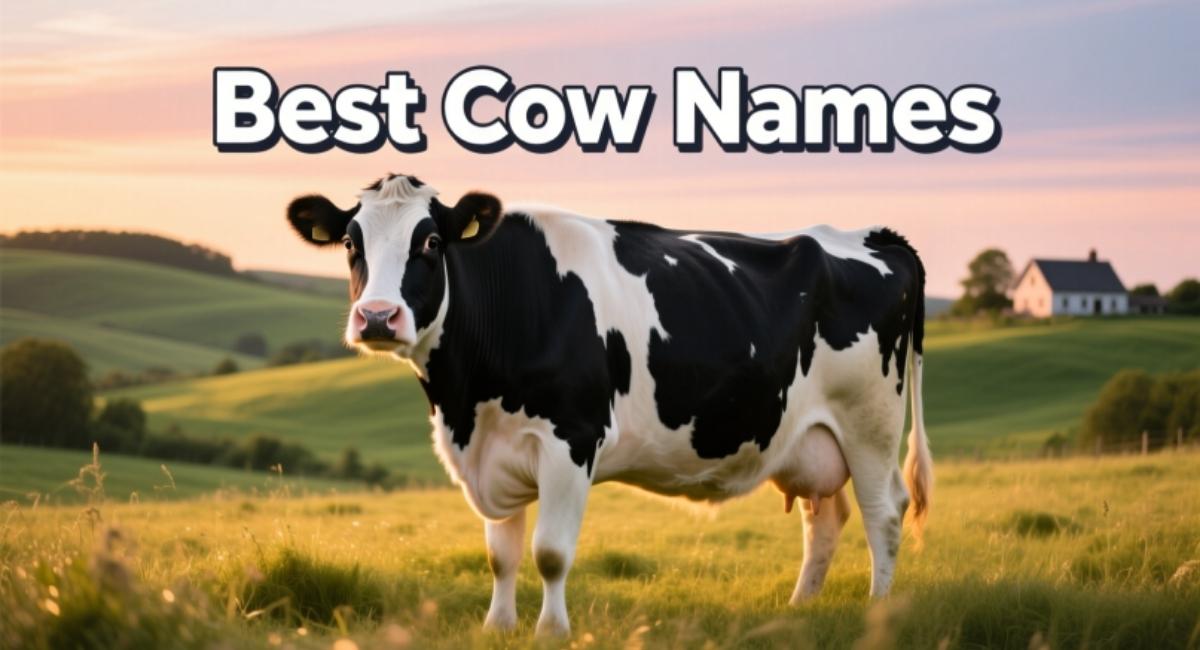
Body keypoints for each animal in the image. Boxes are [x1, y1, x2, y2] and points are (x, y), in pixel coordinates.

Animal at [286, 173, 933, 636]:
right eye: (351, 243)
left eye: (431, 241)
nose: (377, 317)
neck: (466, 400)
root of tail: (875, 235)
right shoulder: (489, 449)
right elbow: (501, 554)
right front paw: (497, 628)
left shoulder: (571, 438)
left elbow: (549, 553)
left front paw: (551, 632)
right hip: (808, 437)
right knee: (826, 518)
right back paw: (800, 609)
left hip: (871, 421)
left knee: (883, 513)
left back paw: (877, 611)